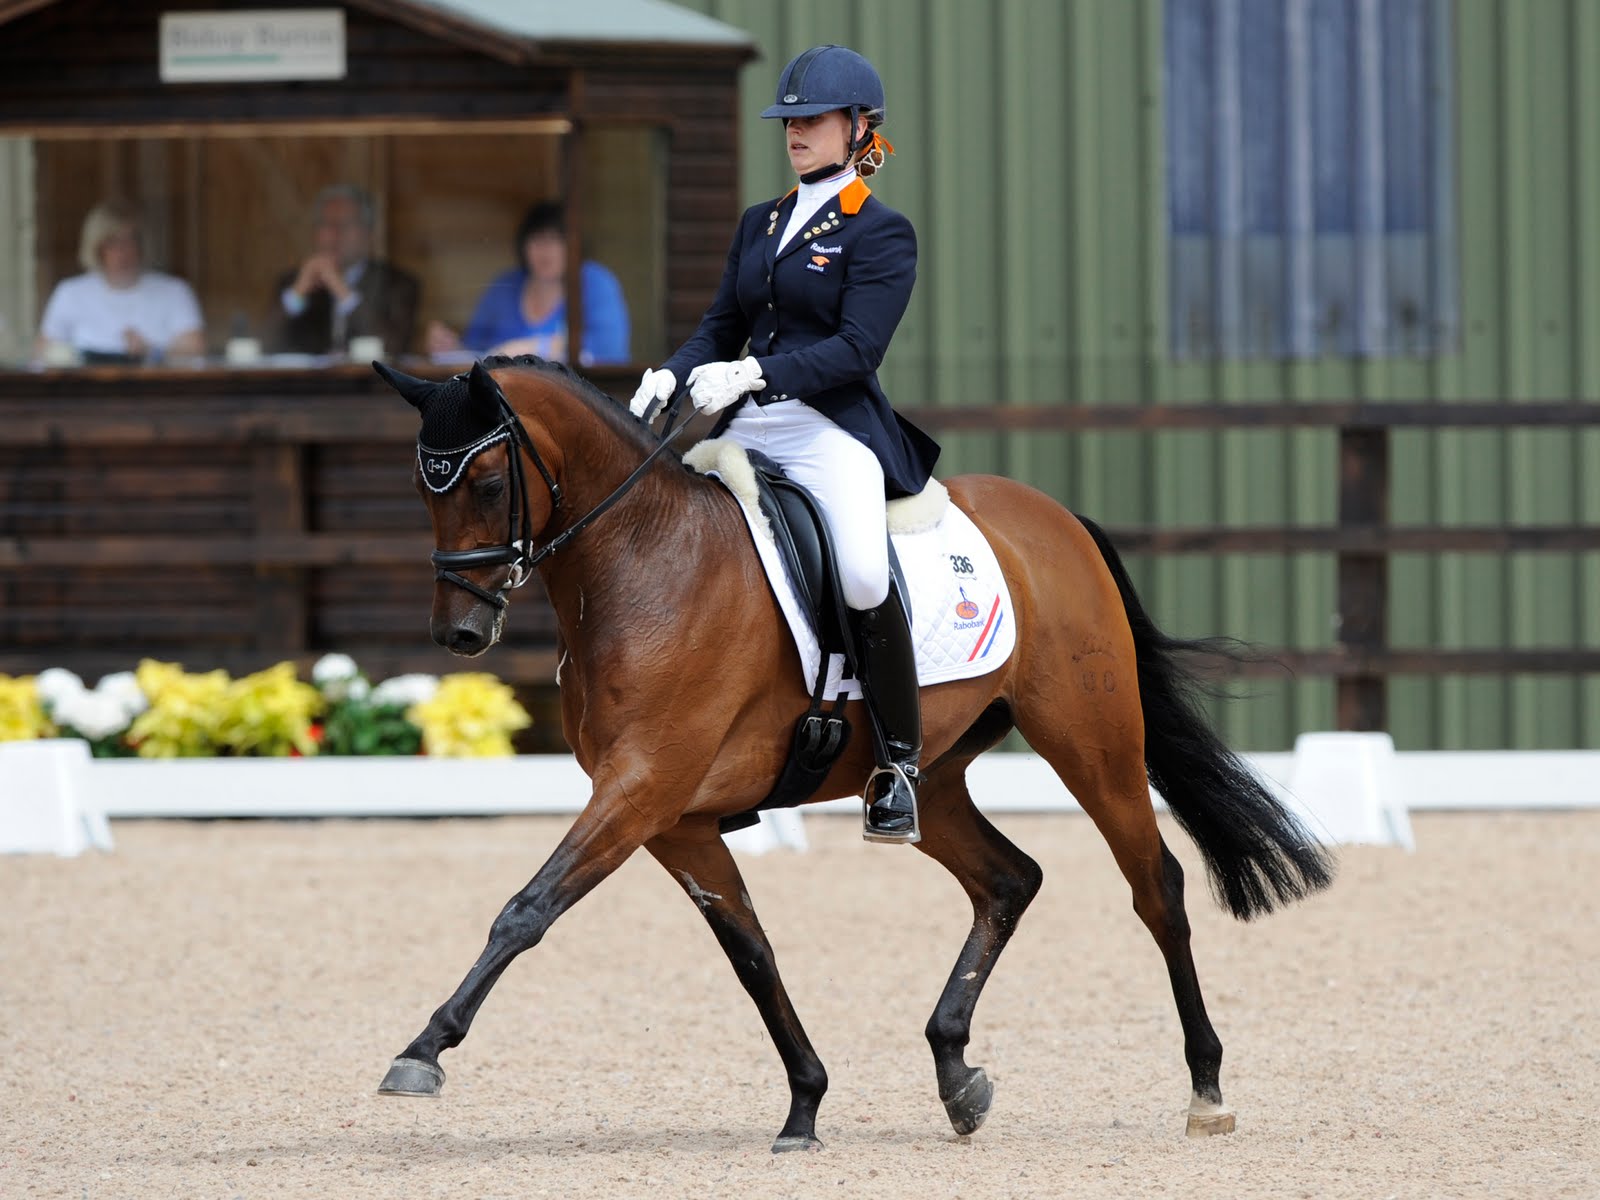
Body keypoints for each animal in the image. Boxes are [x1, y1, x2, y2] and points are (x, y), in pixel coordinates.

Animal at [370, 355, 1335, 1151]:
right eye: (424, 488)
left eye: (487, 481)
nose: (460, 633)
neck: (646, 563)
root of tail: (1054, 516)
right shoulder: (675, 819)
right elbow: (751, 953)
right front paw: (805, 1104)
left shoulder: (640, 789)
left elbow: (526, 910)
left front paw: (424, 1049)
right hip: (931, 778)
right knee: (1007, 879)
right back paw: (956, 1075)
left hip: (1091, 741)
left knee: (1155, 885)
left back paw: (1206, 1090)